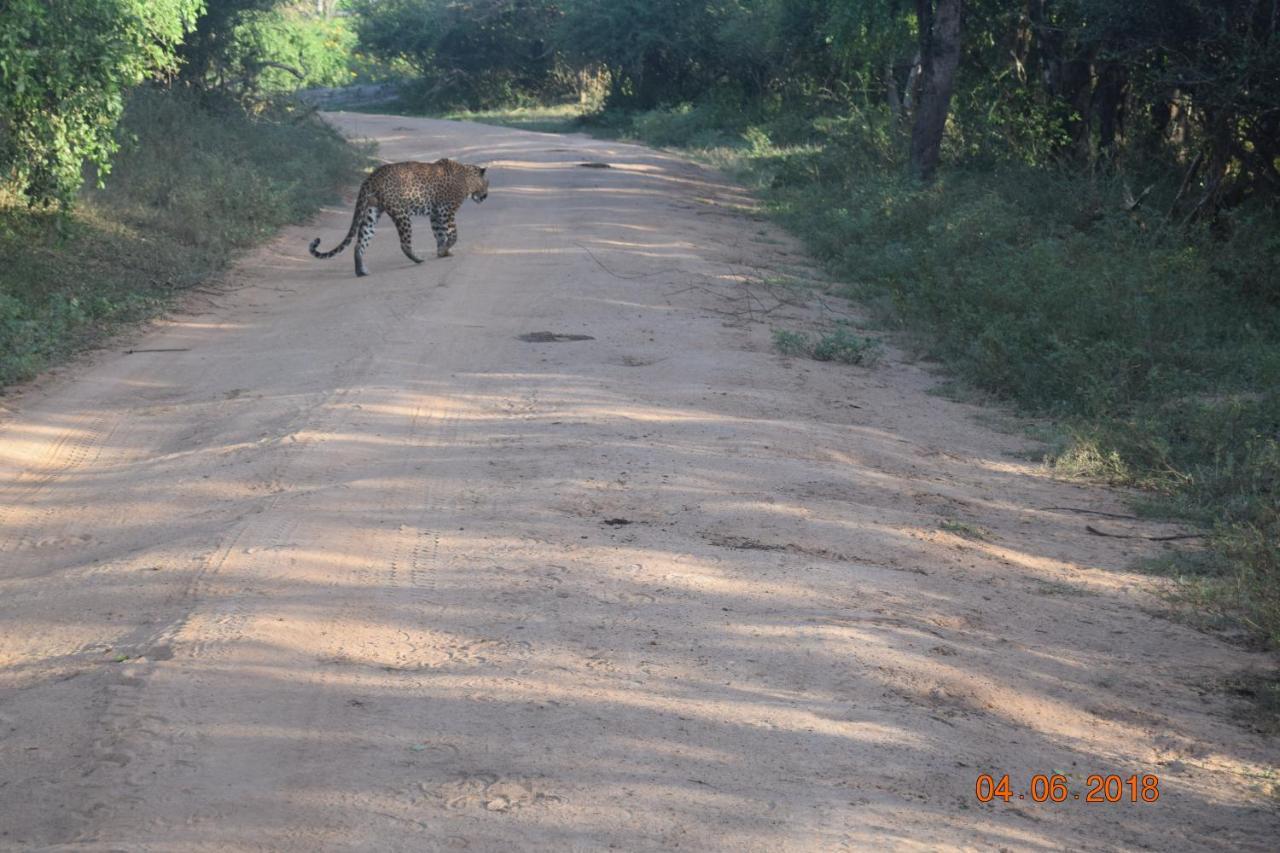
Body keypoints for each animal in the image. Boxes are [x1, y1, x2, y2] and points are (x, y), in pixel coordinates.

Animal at [309, 158, 488, 275]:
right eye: (488, 184)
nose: (486, 196)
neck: (467, 178)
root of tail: (372, 176)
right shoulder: (446, 211)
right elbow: (453, 234)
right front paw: (445, 249)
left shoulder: (436, 214)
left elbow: (439, 234)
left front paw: (442, 252)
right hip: (401, 213)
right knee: (404, 244)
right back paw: (418, 259)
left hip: (371, 212)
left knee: (359, 244)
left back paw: (361, 271)